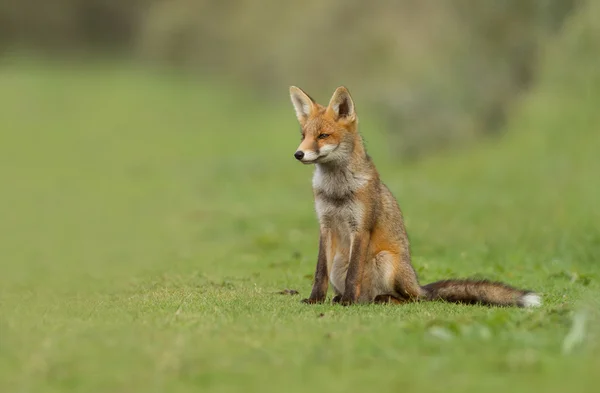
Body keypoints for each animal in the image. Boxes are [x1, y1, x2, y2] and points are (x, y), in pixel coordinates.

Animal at [288, 85, 540, 306]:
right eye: (304, 135)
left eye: (323, 135)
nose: (298, 154)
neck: (337, 191)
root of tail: (418, 285)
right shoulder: (326, 225)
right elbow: (319, 272)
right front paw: (315, 300)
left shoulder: (360, 228)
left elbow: (353, 274)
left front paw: (348, 301)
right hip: (340, 260)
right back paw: (344, 298)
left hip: (386, 261)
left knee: (409, 299)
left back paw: (376, 299)